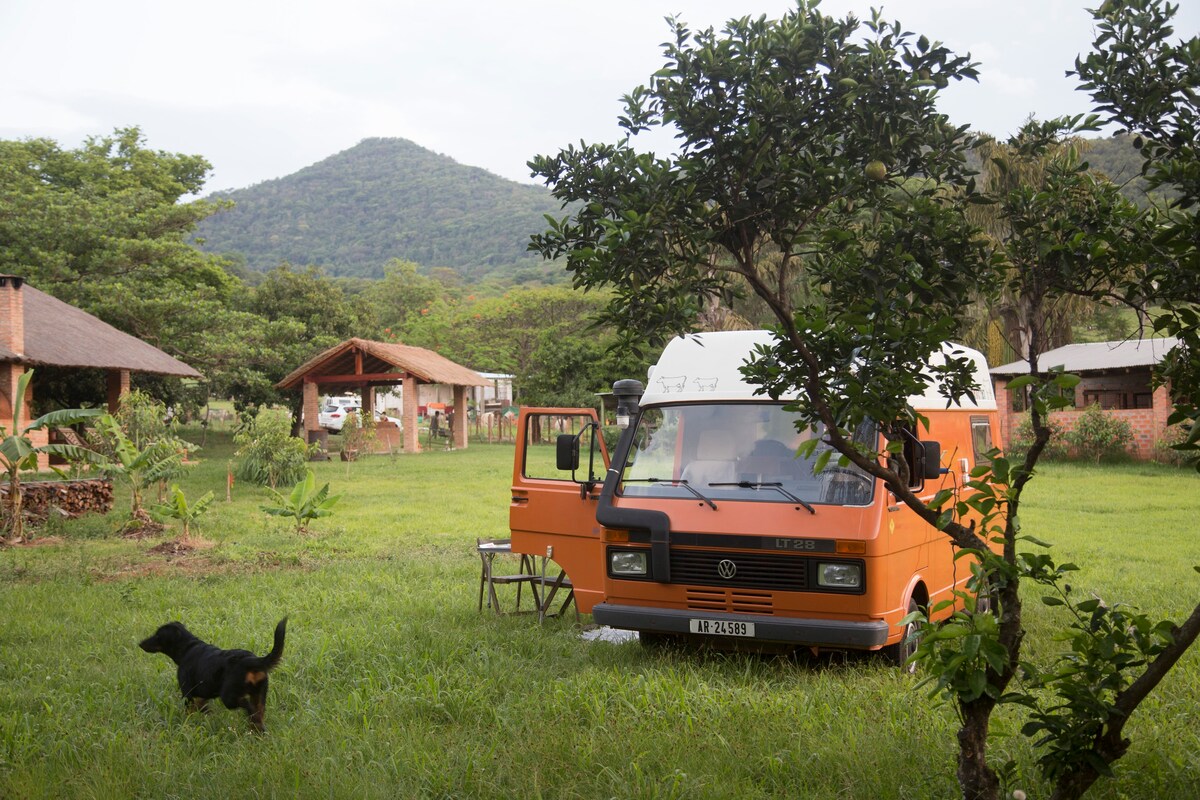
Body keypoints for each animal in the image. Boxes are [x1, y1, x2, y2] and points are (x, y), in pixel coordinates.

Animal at [139, 618, 286, 734]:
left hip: (229, 697)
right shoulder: (202, 695)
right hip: (259, 695)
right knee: (258, 713)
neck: (187, 649)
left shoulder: (188, 693)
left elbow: (189, 712)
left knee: (250, 708)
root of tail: (250, 660)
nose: (140, 643)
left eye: (158, 635)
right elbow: (204, 708)